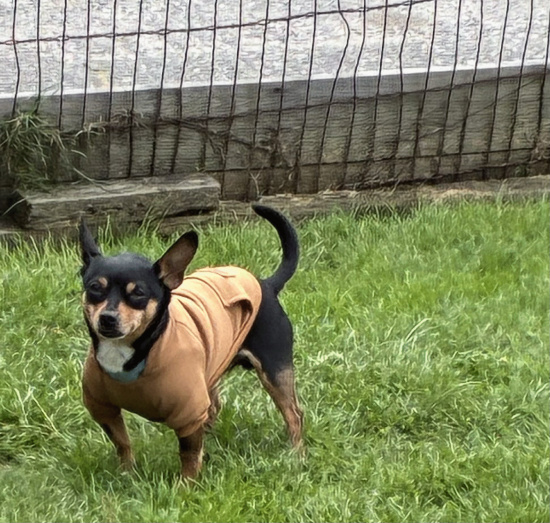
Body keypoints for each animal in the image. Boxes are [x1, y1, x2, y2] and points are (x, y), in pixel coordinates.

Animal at [79, 205, 303, 478]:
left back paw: (296, 455)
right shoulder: (102, 407)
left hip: (275, 371)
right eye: (94, 288)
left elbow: (188, 456)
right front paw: (127, 473)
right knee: (215, 407)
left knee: (294, 414)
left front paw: (185, 484)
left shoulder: (189, 414)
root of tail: (267, 285)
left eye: (138, 293)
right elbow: (122, 442)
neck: (138, 352)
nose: (107, 318)